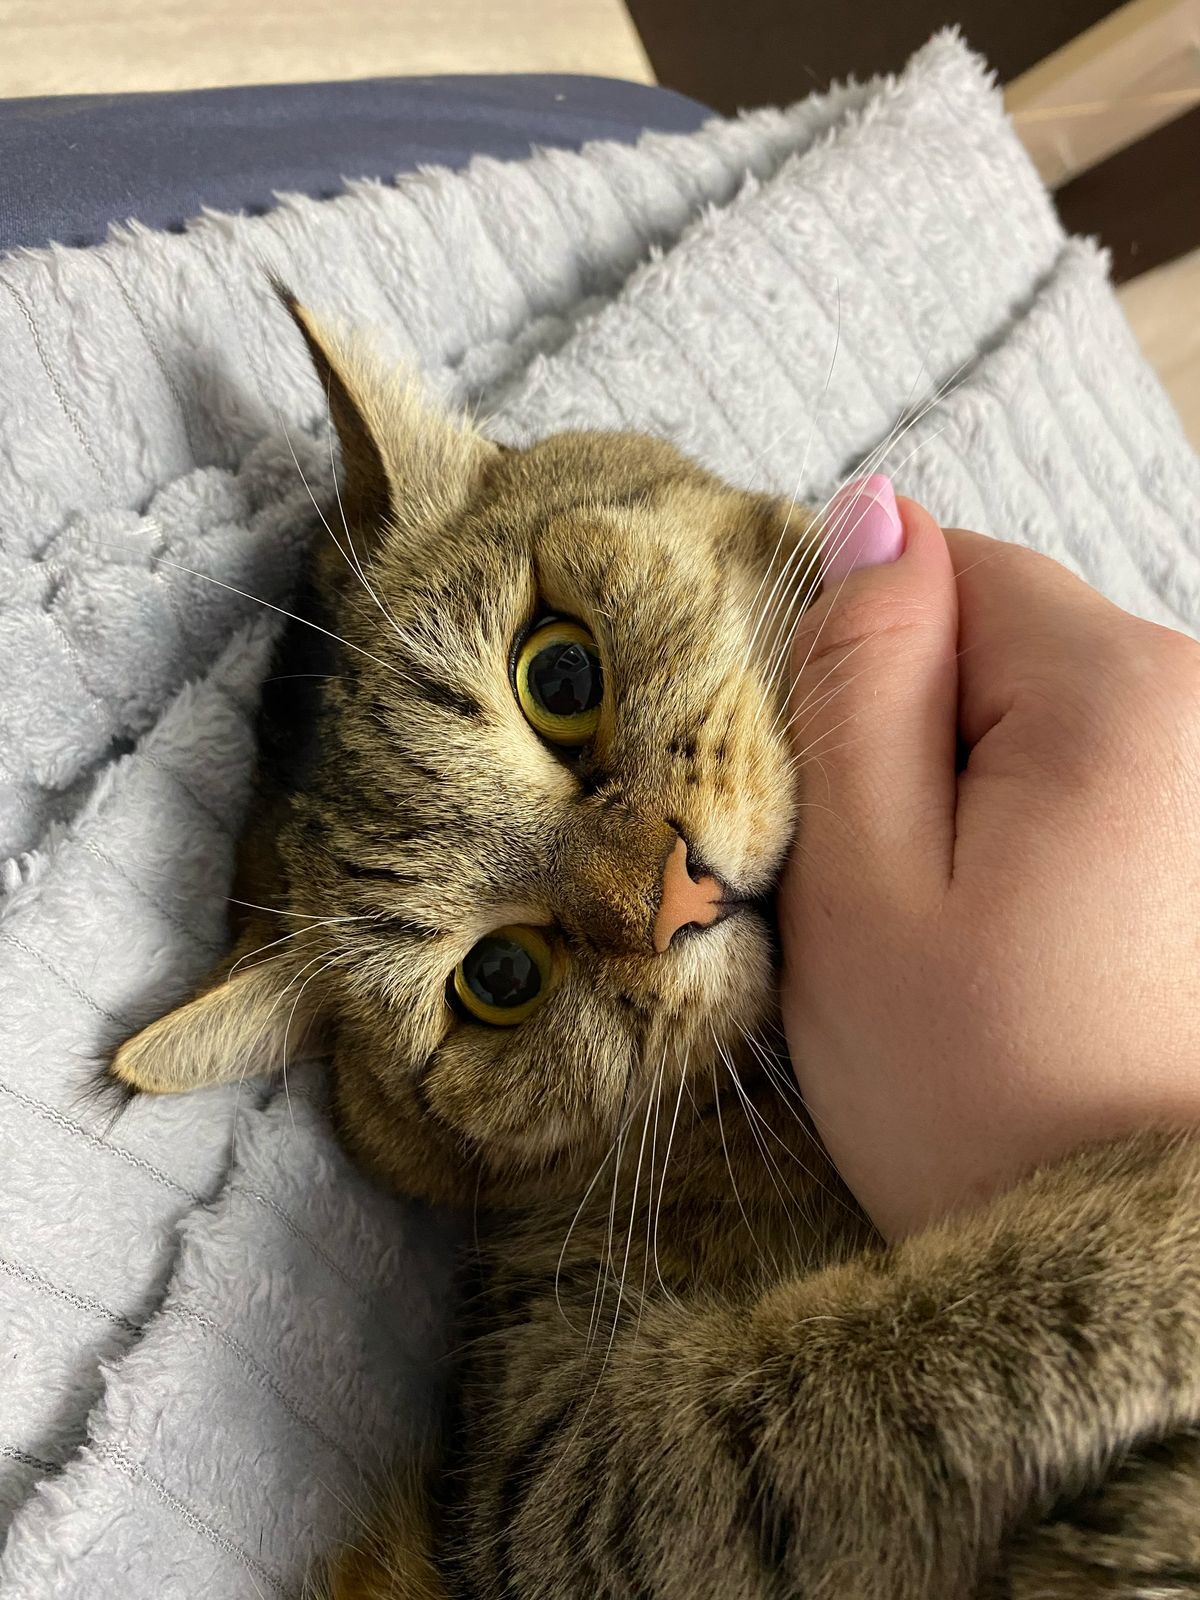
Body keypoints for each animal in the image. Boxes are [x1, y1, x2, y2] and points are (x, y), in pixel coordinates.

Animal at [110, 291, 1200, 1599]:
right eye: (500, 977)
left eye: (560, 672)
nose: (680, 893)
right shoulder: (542, 1470)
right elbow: (840, 1393)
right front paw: (1158, 1235)